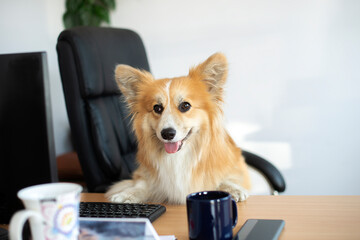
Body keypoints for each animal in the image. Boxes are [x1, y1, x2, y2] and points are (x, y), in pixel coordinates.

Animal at [105, 53, 249, 203]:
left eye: (185, 106)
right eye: (157, 108)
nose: (167, 134)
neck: (178, 156)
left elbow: (227, 178)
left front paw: (233, 189)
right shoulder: (147, 176)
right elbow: (141, 185)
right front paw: (126, 194)